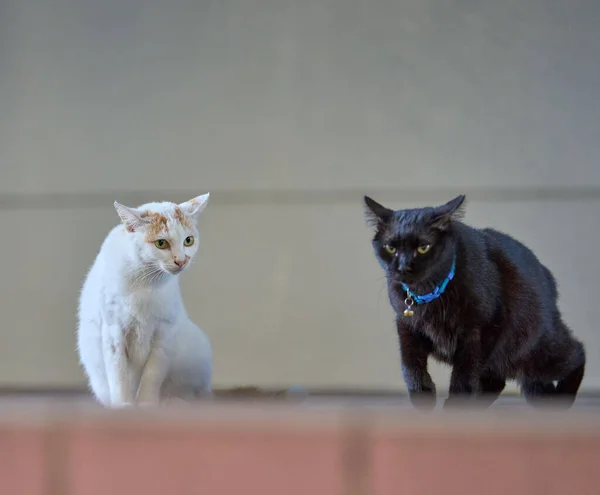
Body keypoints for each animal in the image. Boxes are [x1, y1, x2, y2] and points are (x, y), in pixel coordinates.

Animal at [78, 194, 212, 406]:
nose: (181, 260)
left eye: (188, 240)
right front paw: (123, 406)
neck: (146, 284)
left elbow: (152, 375)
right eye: (161, 243)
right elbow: (119, 375)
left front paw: (146, 405)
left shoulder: (164, 332)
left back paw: (175, 401)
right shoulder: (113, 331)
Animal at [366, 195, 584, 410]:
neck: (428, 292)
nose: (403, 267)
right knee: (497, 380)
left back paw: (563, 398)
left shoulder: (480, 332)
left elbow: (465, 371)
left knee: (577, 351)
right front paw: (422, 396)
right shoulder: (405, 324)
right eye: (390, 248)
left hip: (532, 349)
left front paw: (457, 406)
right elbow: (410, 363)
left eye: (423, 248)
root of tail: (547, 276)